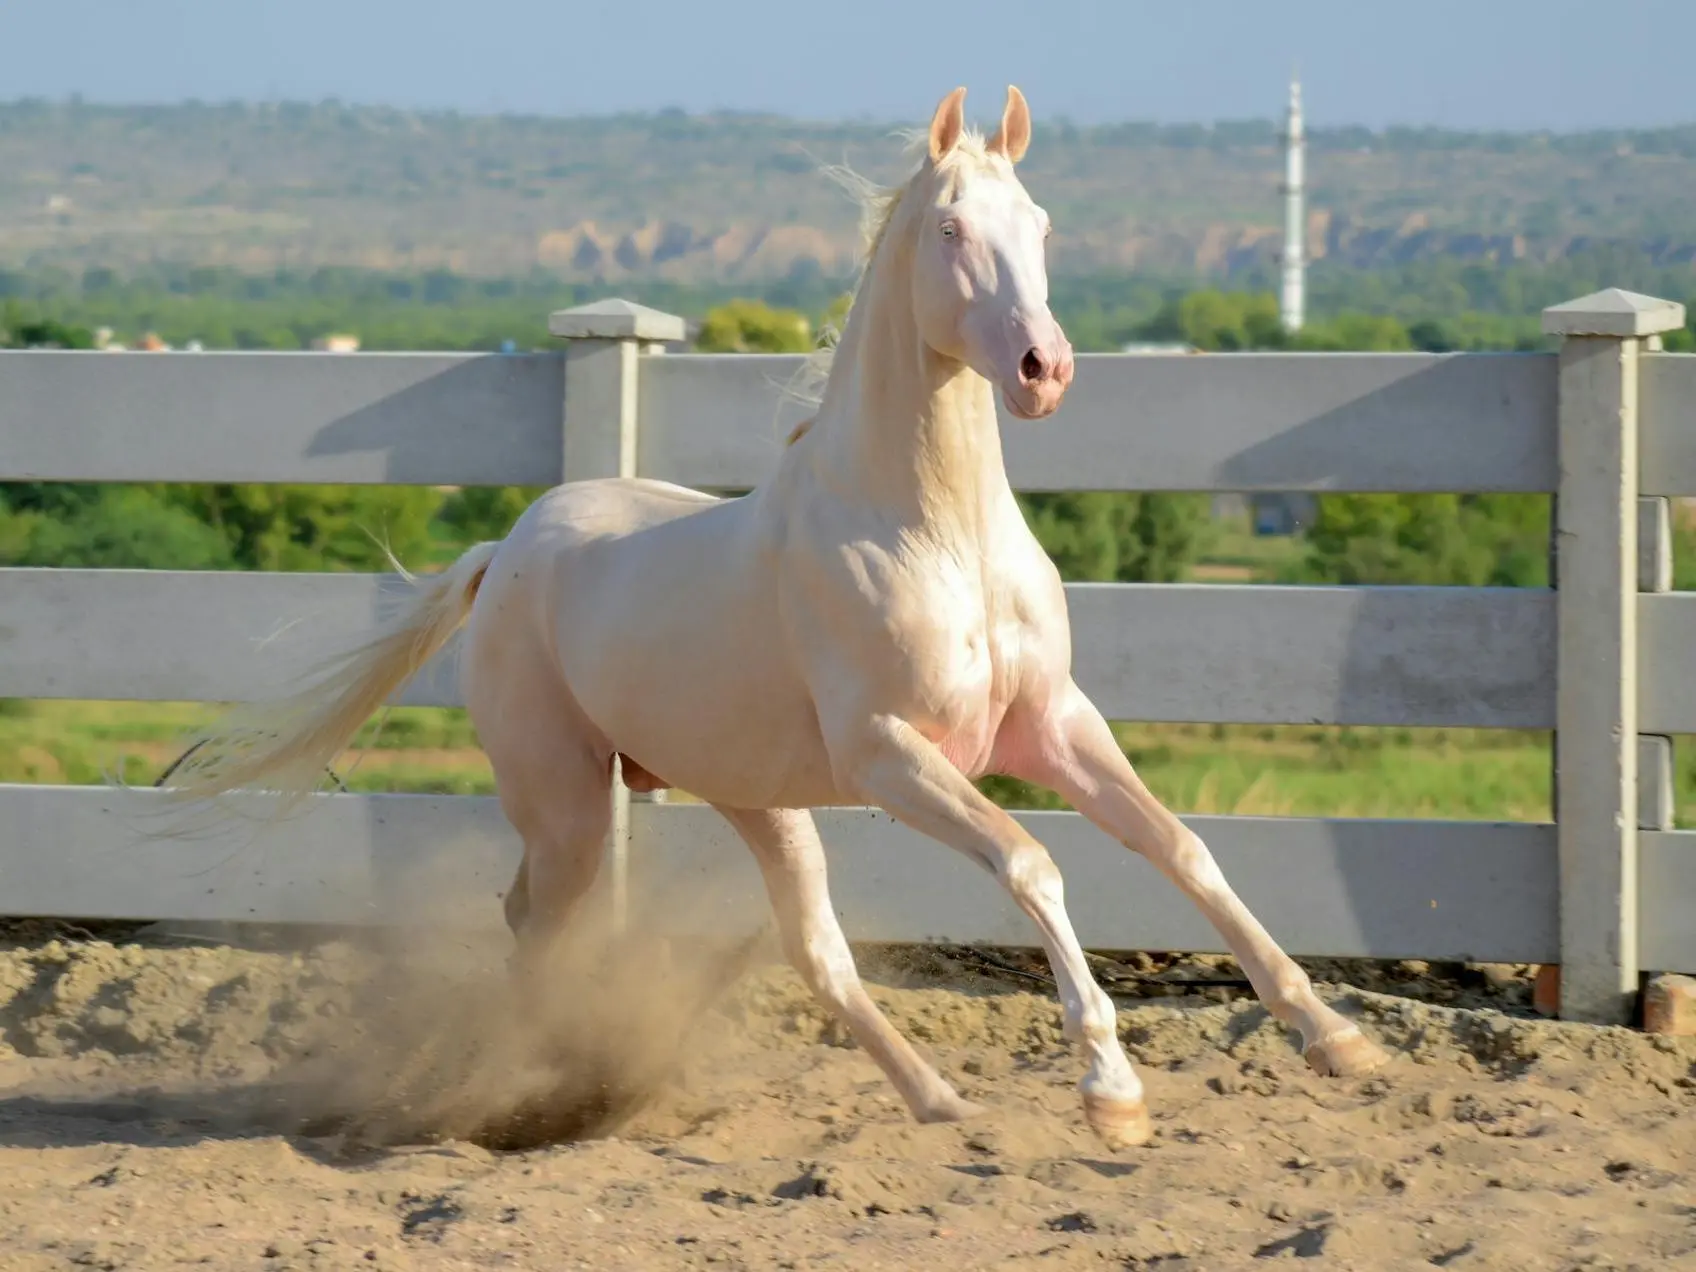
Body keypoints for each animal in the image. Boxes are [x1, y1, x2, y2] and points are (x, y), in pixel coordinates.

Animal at [165, 84, 1390, 1153]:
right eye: (951, 226)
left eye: (1041, 224)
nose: (1044, 369)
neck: (932, 533)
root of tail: (504, 552)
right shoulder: (894, 755)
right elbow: (1031, 863)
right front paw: (1112, 1090)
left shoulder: (1050, 723)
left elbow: (1179, 847)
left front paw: (1334, 1036)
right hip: (567, 804)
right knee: (537, 922)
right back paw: (531, 1089)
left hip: (757, 803)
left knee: (814, 953)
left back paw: (940, 1100)